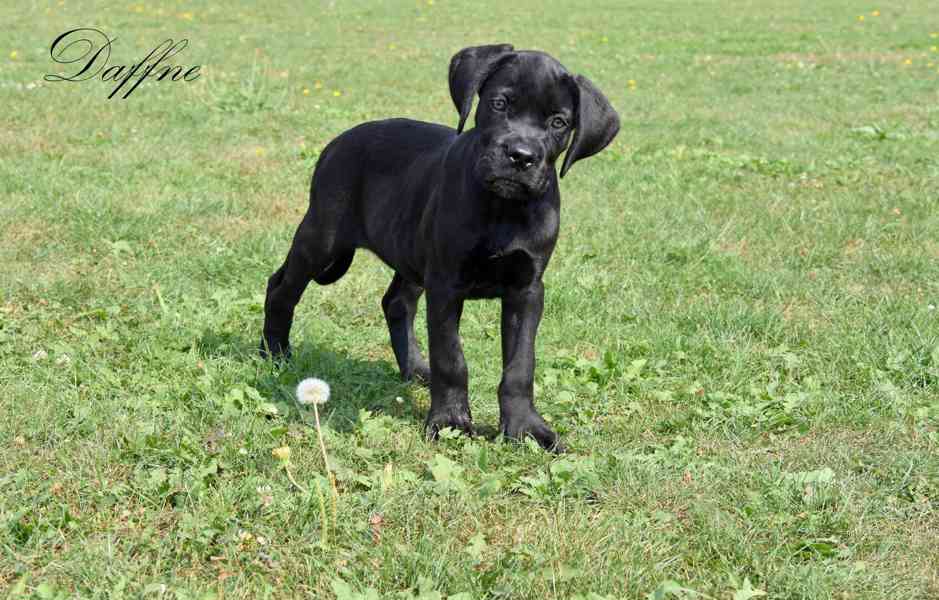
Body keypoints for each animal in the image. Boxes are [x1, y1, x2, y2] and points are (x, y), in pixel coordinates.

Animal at [260, 44, 620, 450]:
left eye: (559, 122)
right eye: (499, 103)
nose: (521, 155)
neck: (503, 208)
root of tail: (338, 142)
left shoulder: (526, 290)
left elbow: (520, 365)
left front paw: (525, 428)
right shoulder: (447, 284)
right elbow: (451, 358)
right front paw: (450, 421)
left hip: (409, 250)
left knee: (396, 302)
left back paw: (416, 368)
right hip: (323, 236)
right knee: (281, 286)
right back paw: (274, 353)